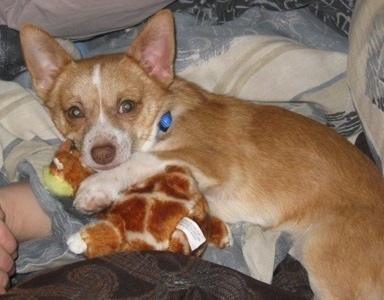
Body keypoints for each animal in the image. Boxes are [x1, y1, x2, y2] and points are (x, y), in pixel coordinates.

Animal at [20, 8, 384, 298]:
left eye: (128, 106)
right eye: (74, 112)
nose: (102, 154)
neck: (164, 120)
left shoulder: (212, 162)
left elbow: (144, 159)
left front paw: (97, 186)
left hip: (327, 259)